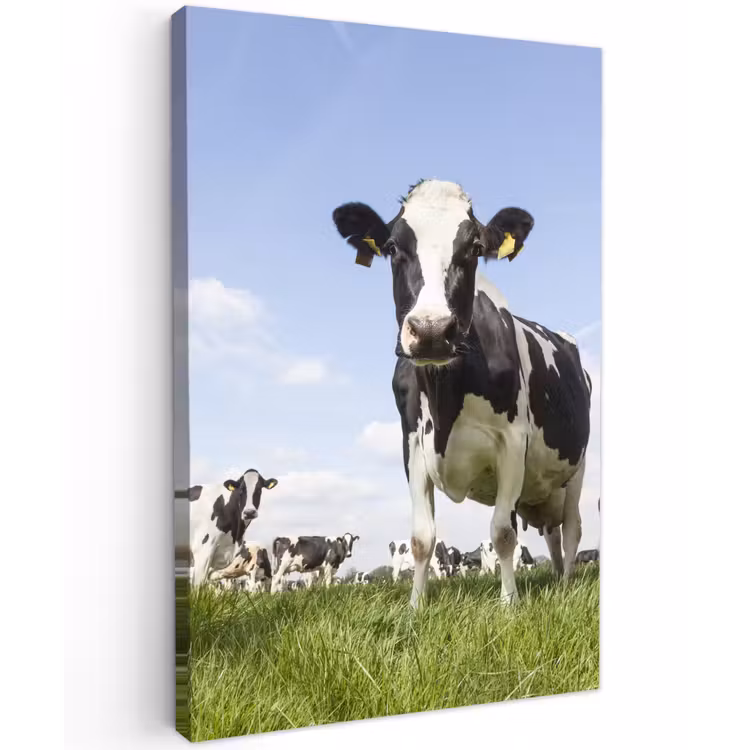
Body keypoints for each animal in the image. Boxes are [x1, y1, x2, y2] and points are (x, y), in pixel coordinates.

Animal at [332, 179, 591, 608]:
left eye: (474, 248)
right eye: (393, 248)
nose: (432, 330)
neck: (446, 397)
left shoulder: (512, 442)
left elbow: (502, 532)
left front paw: (509, 603)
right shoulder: (413, 443)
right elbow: (422, 538)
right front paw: (415, 607)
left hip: (577, 467)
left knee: (571, 528)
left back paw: (567, 584)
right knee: (552, 534)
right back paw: (557, 577)